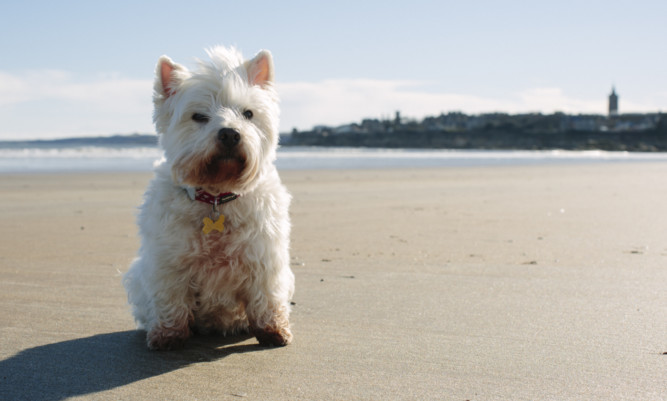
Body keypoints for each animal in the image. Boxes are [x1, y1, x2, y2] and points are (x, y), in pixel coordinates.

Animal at [123, 45, 294, 348]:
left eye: (248, 113)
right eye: (199, 116)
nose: (229, 134)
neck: (216, 196)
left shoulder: (264, 259)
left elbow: (267, 298)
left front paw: (274, 331)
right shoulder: (169, 263)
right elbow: (171, 300)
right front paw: (168, 336)